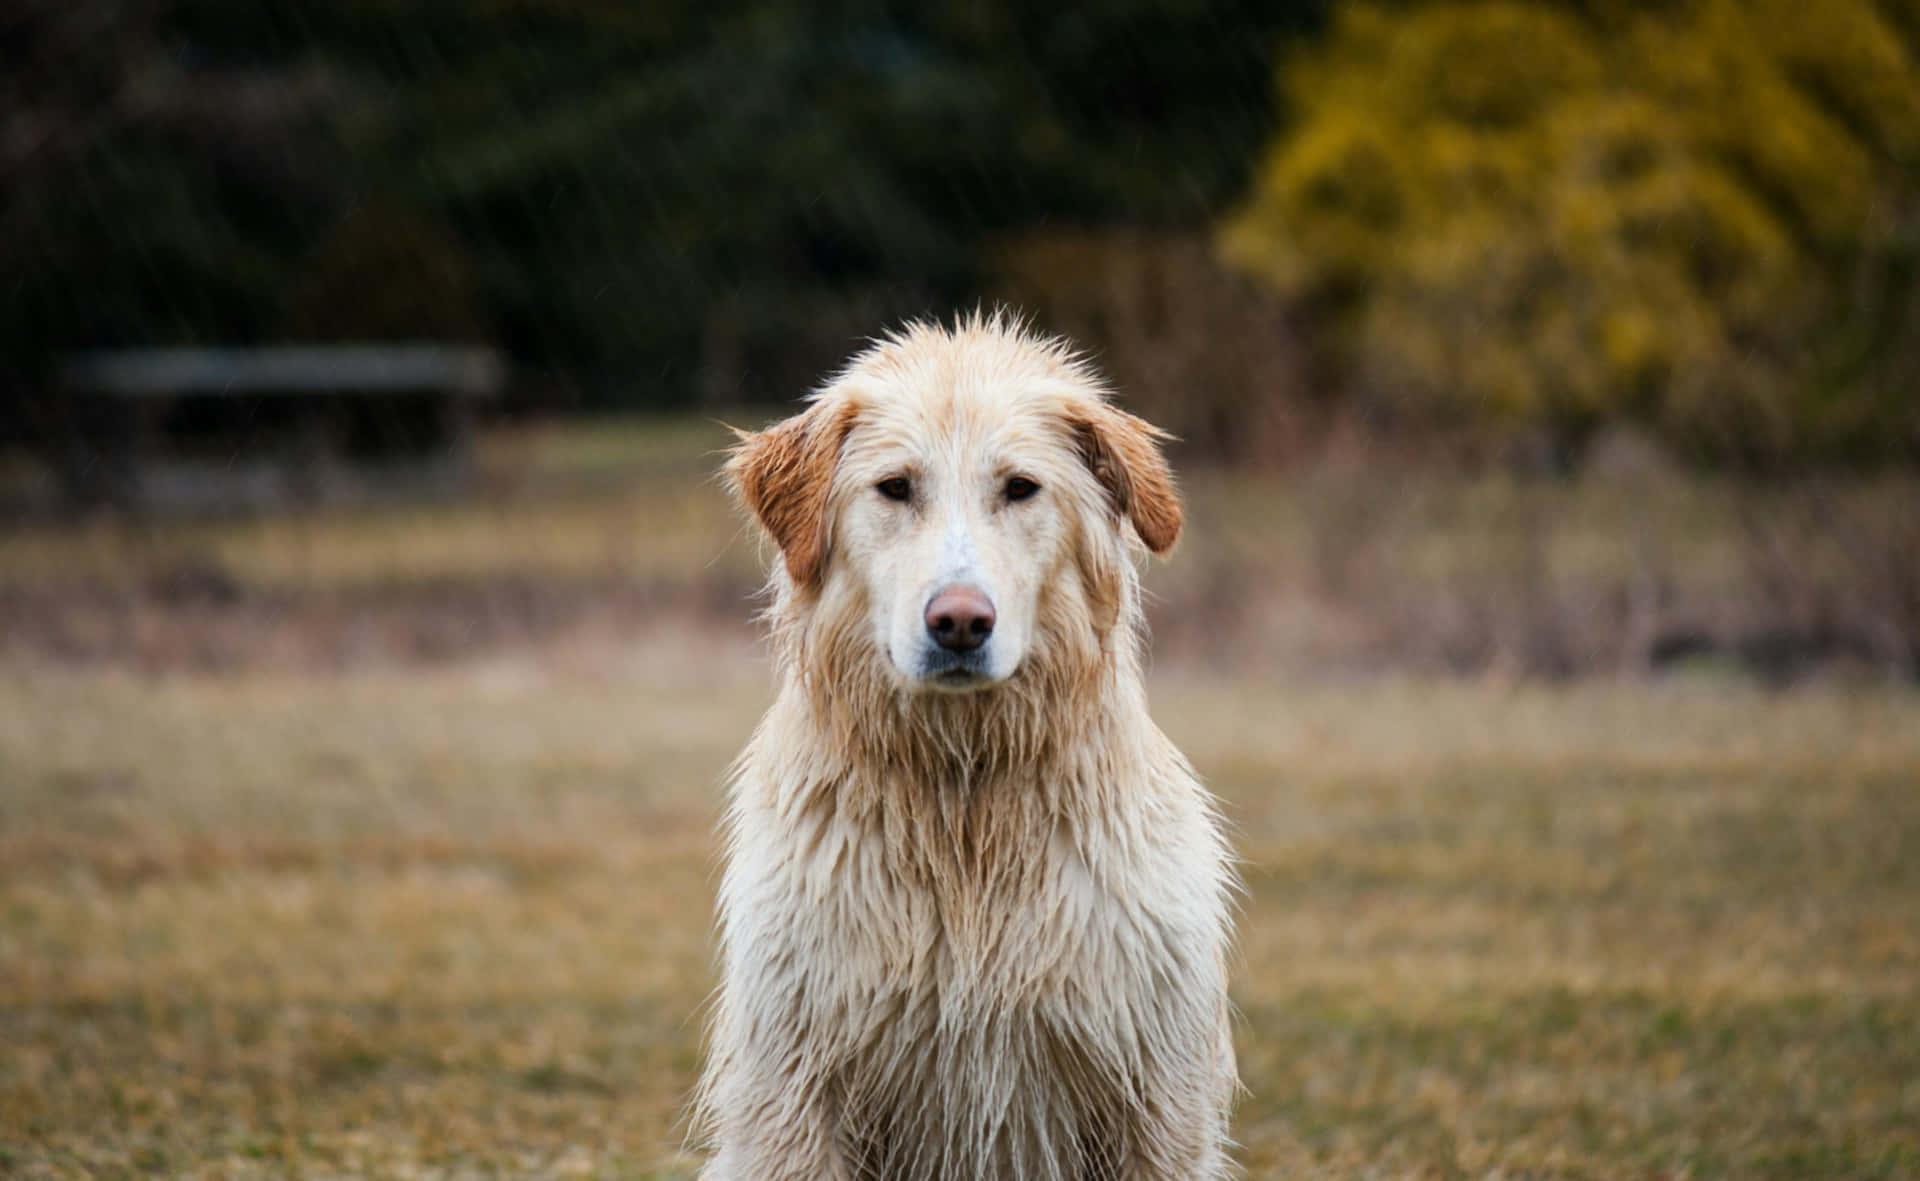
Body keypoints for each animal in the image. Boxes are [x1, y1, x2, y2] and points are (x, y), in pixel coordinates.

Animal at [698, 314, 1236, 1181]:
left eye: (1019, 487)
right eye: (895, 487)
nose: (959, 622)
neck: (966, 797)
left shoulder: (1158, 1094)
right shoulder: (792, 1089)